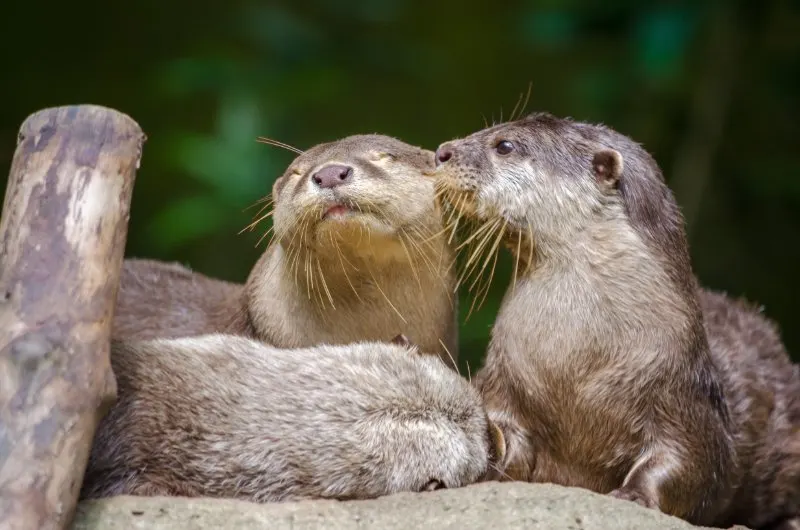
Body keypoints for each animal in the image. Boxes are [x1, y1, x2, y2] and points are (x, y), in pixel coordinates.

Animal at [432, 111, 800, 528]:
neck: (573, 364)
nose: (442, 151)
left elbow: (692, 462)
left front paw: (634, 494)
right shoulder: (504, 380)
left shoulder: (681, 394)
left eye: (505, 145)